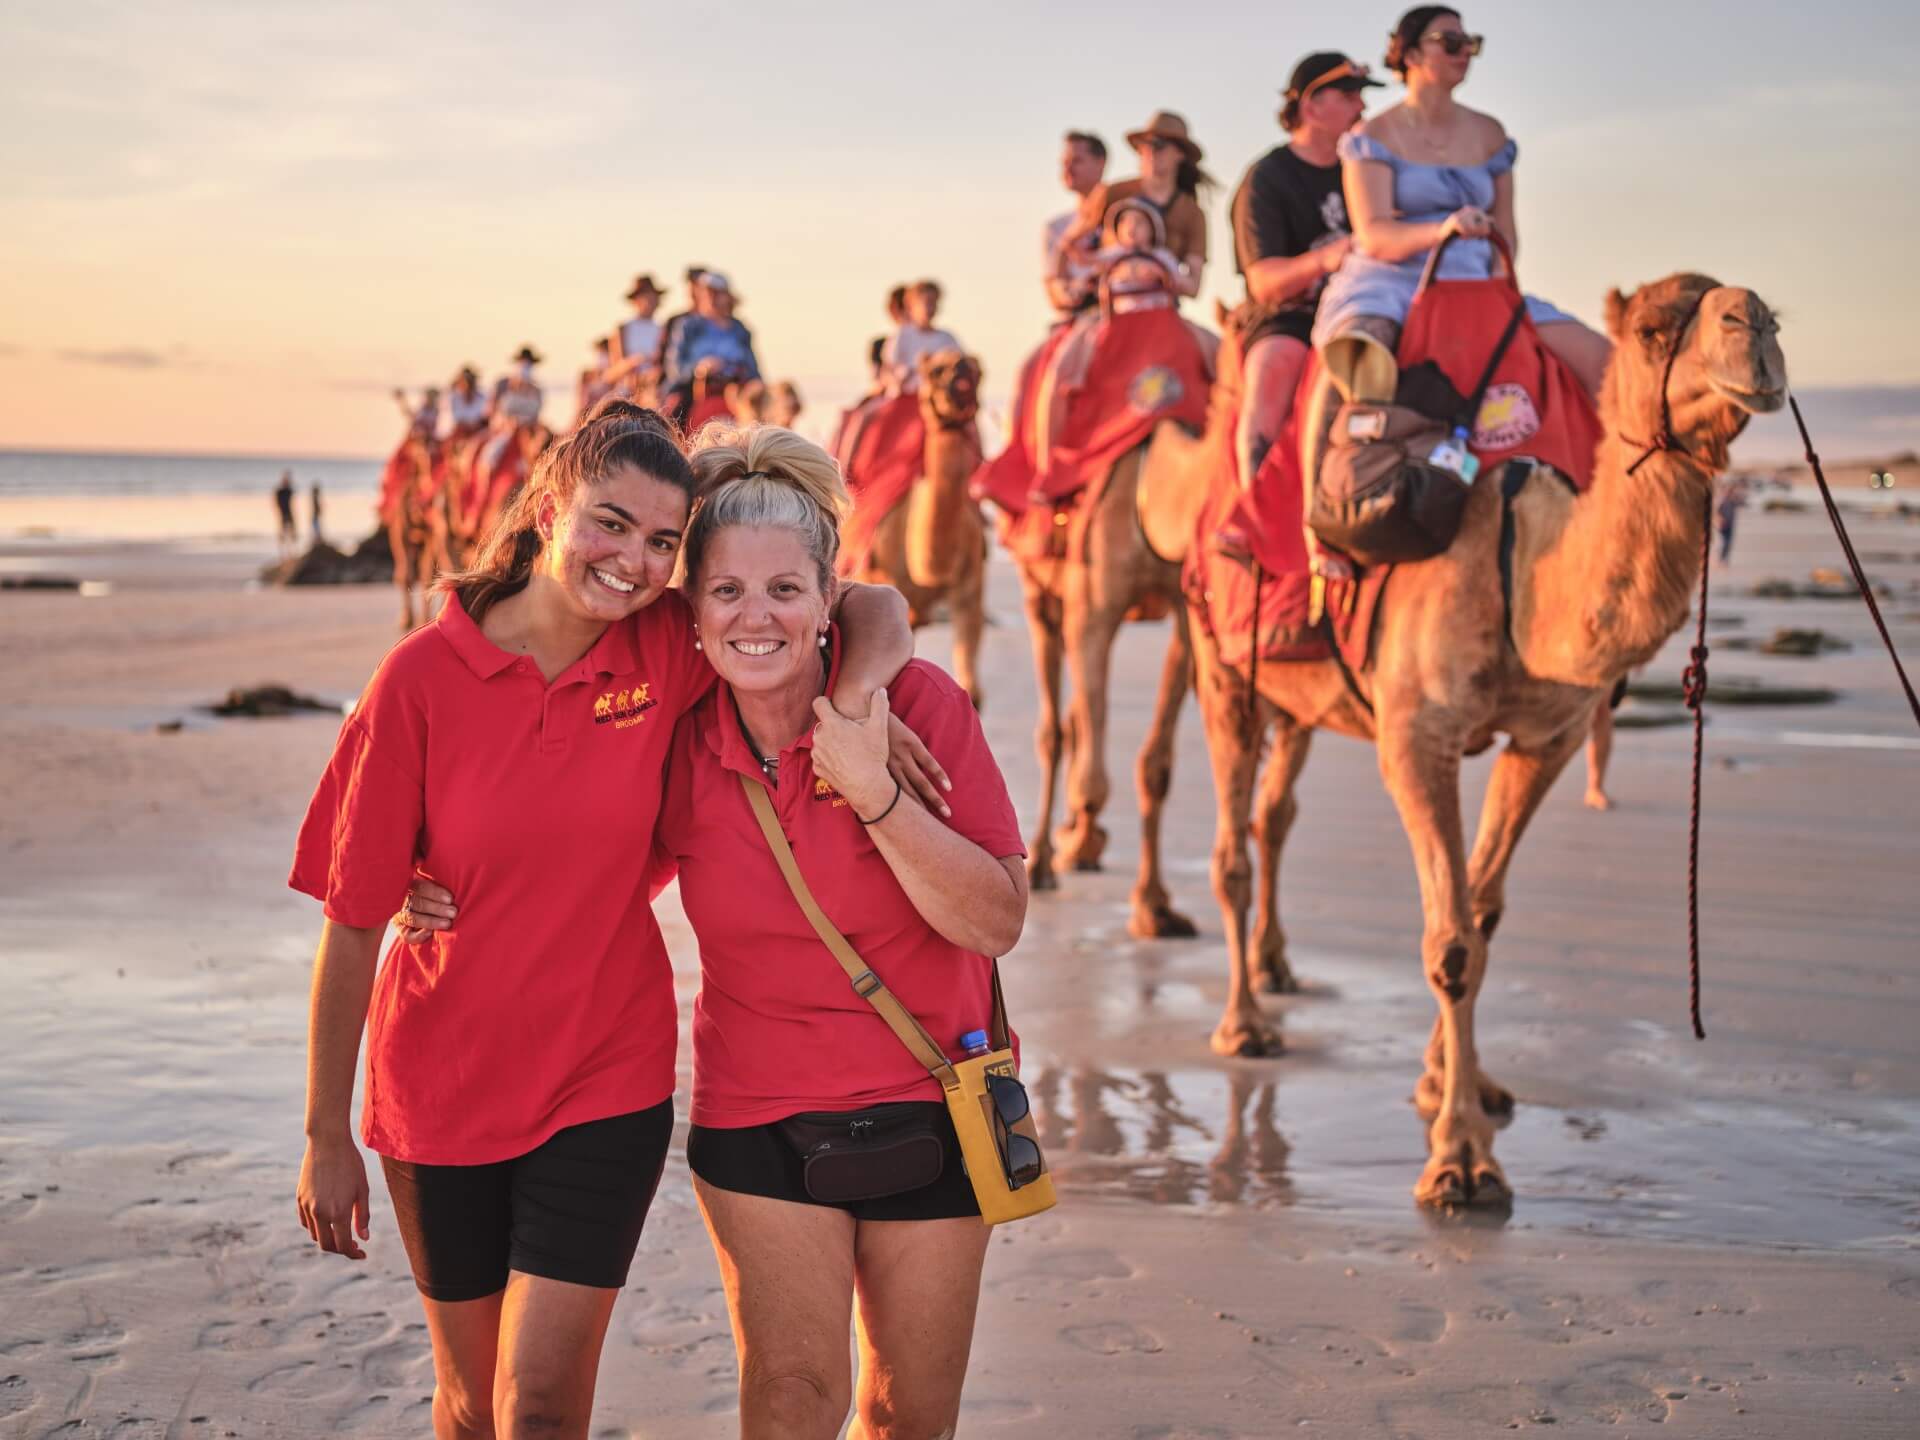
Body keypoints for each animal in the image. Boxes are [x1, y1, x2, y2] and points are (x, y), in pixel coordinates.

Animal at [1136, 268, 1781, 1205]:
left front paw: (1453, 1084)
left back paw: (1277, 971)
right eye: (1655, 329)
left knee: (1272, 817)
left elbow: (1483, 912)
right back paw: (1245, 1025)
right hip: (1221, 659)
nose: (1756, 327)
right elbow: (1449, 943)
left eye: (1768, 316)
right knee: (1230, 848)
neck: (1522, 567)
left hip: (1296, 702)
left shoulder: (1549, 739)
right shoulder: (1417, 736)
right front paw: (1461, 1161)